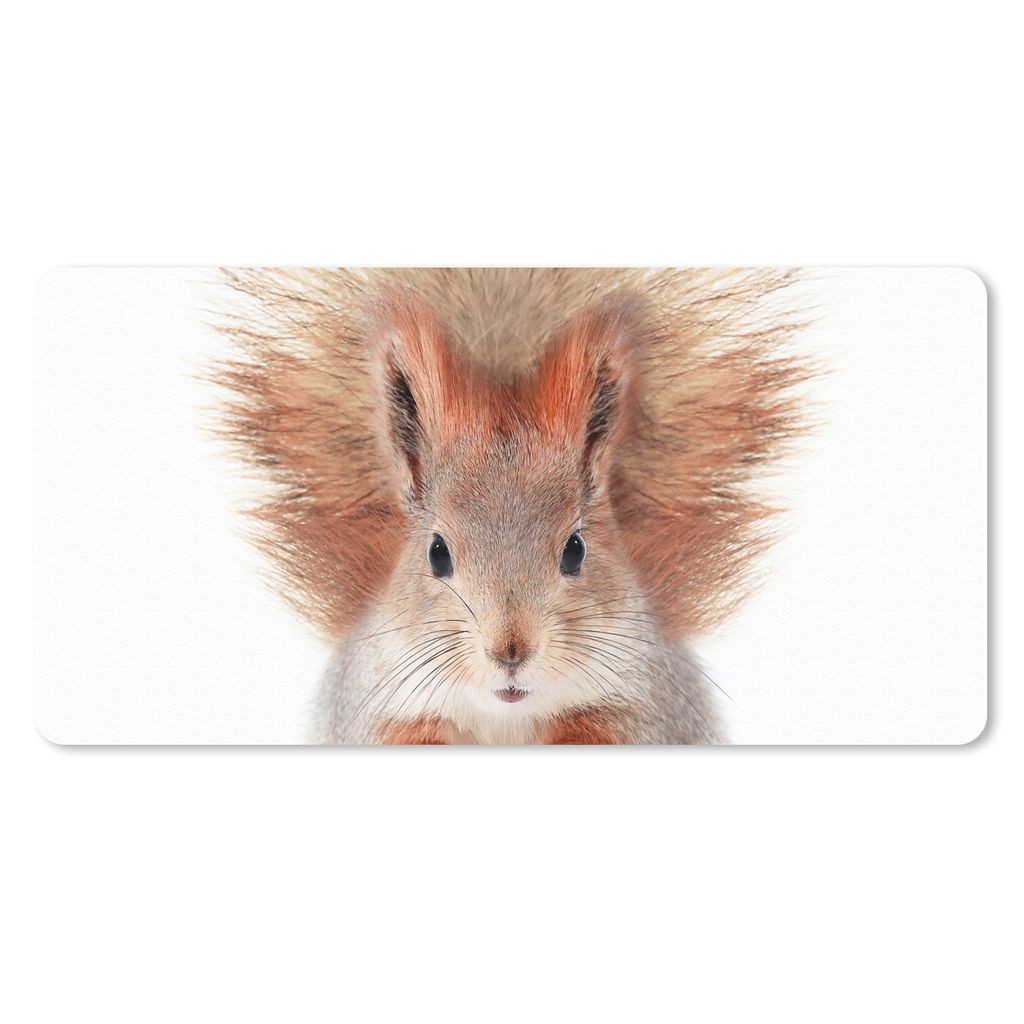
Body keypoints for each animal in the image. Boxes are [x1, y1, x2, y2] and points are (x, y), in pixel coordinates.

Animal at [214, 268, 811, 744]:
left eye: (576, 549)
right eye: (436, 552)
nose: (510, 651)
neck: (506, 718)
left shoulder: (640, 710)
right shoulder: (387, 713)